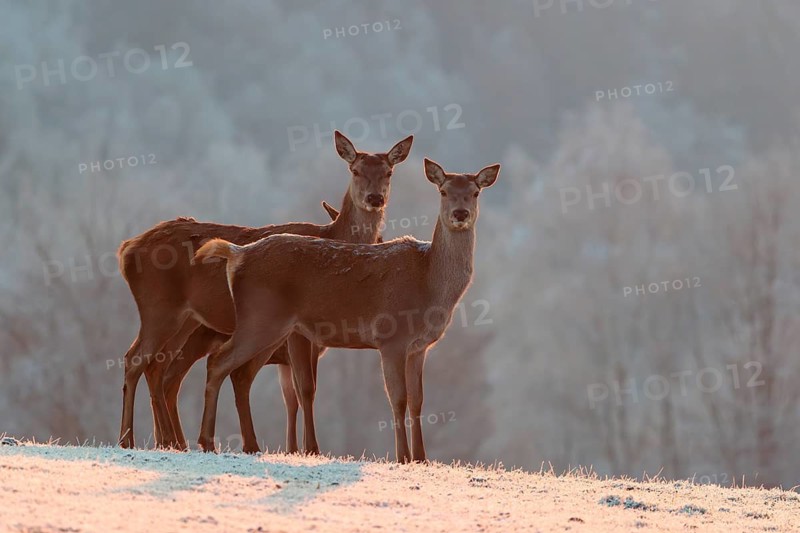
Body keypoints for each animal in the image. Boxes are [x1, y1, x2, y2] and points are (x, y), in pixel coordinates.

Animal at [116, 131, 413, 453]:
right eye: (355, 170)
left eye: (388, 172)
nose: (375, 198)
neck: (335, 237)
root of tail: (126, 250)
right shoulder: (297, 331)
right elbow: (305, 387)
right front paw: (310, 449)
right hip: (159, 307)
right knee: (135, 360)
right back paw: (129, 439)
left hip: (187, 321)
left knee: (159, 369)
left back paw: (171, 442)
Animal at [193, 158, 500, 462]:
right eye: (443, 191)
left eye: (475, 192)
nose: (460, 214)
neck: (429, 285)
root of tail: (237, 253)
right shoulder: (392, 337)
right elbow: (398, 399)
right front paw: (402, 456)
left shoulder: (419, 347)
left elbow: (418, 401)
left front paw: (421, 458)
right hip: (260, 318)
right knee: (218, 361)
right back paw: (207, 441)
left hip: (274, 328)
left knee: (237, 372)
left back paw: (243, 444)